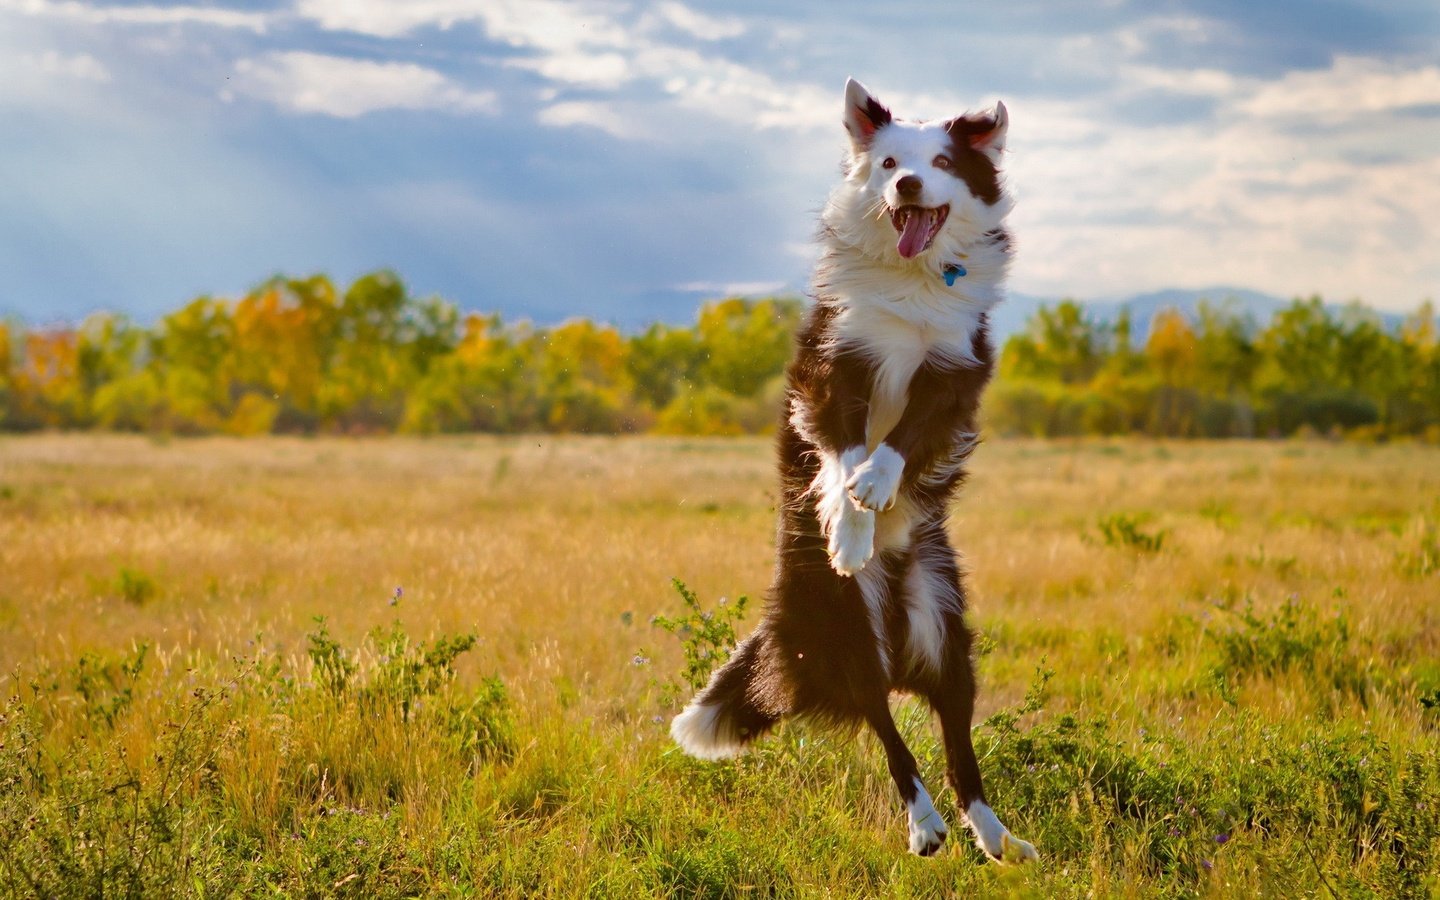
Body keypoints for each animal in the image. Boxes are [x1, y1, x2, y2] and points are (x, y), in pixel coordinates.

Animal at [671, 78, 1036, 864]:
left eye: (942, 162)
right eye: (890, 160)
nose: (907, 184)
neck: (913, 280)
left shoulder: (952, 372)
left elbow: (901, 440)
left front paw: (877, 487)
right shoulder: (833, 367)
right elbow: (841, 456)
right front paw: (848, 526)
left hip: (944, 624)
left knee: (957, 742)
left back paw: (995, 836)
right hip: (845, 626)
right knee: (886, 725)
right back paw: (924, 824)